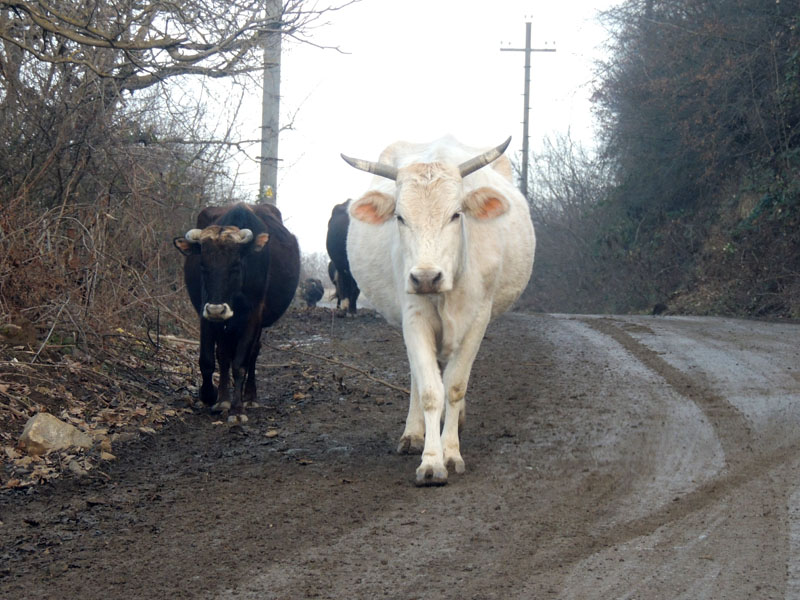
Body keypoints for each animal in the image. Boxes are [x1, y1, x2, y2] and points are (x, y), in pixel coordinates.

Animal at [174, 202, 300, 422]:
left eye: (235, 265)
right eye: (202, 265)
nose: (217, 309)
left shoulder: (253, 316)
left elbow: (240, 363)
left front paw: (238, 409)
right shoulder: (206, 314)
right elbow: (208, 360)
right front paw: (211, 395)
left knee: (253, 353)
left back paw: (249, 396)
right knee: (224, 356)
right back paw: (224, 399)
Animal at [340, 134, 536, 486]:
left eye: (456, 214)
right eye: (400, 217)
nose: (426, 277)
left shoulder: (478, 318)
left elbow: (455, 386)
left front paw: (451, 452)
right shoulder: (413, 317)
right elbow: (431, 388)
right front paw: (432, 460)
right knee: (420, 376)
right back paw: (414, 434)